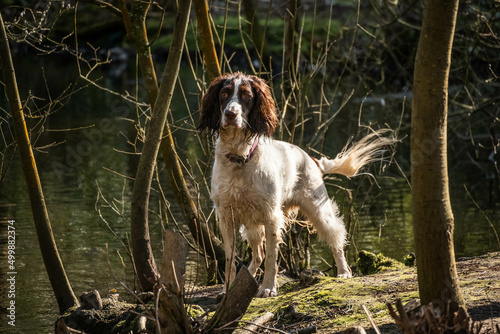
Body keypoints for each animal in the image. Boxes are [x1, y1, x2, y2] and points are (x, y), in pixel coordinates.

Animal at [197, 72, 392, 296]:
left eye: (246, 95)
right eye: (224, 94)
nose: (230, 114)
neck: (240, 158)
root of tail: (312, 159)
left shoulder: (272, 216)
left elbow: (272, 258)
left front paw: (268, 288)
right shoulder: (226, 217)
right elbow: (230, 259)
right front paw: (228, 290)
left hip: (318, 210)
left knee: (336, 236)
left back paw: (343, 271)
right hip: (252, 225)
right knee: (258, 254)